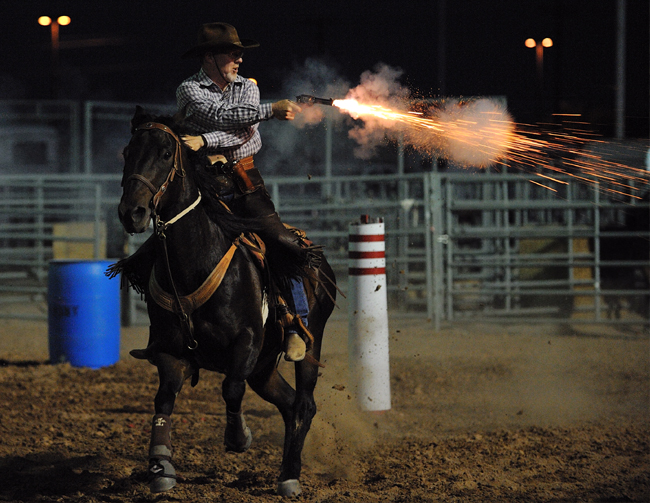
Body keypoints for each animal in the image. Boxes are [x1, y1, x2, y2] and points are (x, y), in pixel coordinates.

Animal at [114, 106, 337, 497]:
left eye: (165, 154)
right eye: (127, 153)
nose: (132, 213)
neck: (195, 261)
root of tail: (319, 260)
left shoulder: (246, 342)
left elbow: (230, 389)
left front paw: (238, 437)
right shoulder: (169, 350)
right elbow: (164, 398)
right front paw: (160, 466)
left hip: (310, 345)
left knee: (305, 403)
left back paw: (290, 476)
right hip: (263, 368)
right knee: (290, 403)